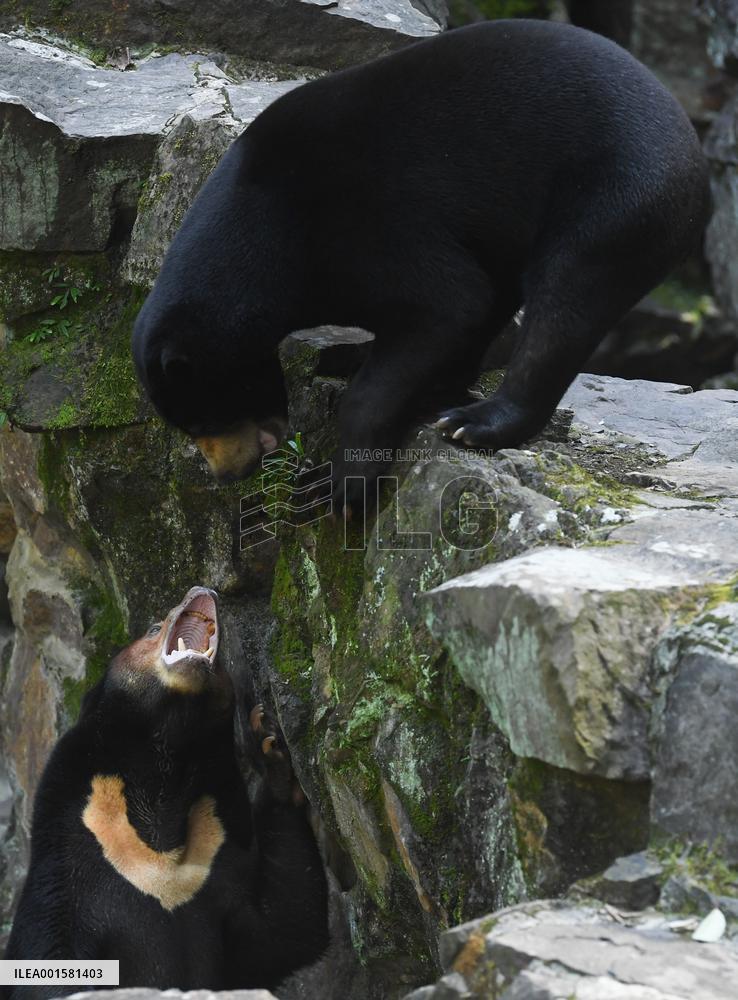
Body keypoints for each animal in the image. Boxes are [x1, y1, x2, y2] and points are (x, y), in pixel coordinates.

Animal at [2, 587, 328, 998]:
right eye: (154, 628)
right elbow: (45, 951)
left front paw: (271, 751)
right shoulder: (70, 860)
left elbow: (283, 933)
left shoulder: (213, 861)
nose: (202, 590)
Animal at [132, 19, 710, 510]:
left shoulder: (362, 228)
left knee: (564, 303)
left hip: (616, 196)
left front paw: (340, 485)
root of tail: (692, 152)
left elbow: (449, 302)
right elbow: (466, 309)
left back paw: (473, 423)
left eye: (199, 418)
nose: (228, 474)